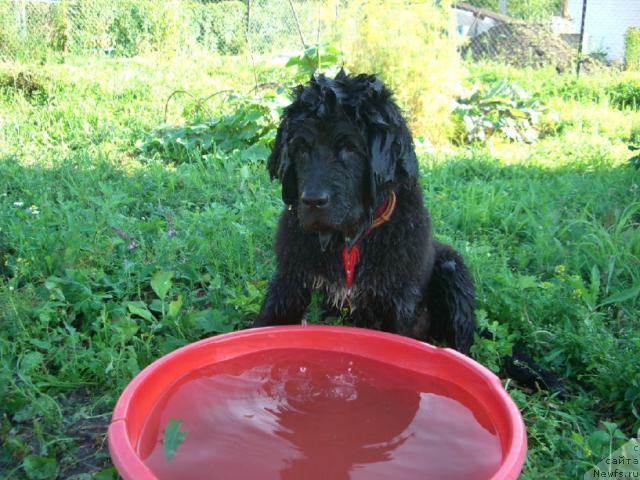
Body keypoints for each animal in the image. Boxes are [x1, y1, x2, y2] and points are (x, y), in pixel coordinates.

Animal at [255, 71, 476, 356]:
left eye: (350, 148)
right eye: (301, 148)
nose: (313, 200)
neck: (349, 241)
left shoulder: (399, 301)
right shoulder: (290, 280)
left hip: (454, 272)